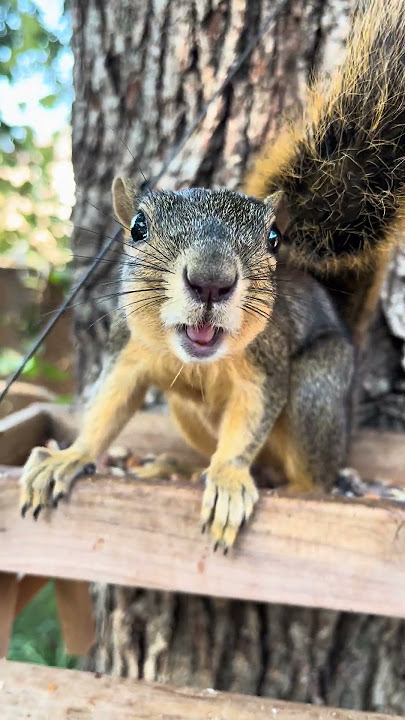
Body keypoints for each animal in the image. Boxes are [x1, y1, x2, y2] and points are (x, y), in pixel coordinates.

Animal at [19, 0, 404, 551]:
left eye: (273, 238)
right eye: (137, 227)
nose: (211, 280)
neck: (201, 361)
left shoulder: (267, 366)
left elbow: (248, 423)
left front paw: (227, 478)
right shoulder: (128, 353)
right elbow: (107, 405)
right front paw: (70, 456)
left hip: (318, 391)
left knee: (312, 475)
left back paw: (296, 487)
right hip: (185, 411)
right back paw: (176, 467)